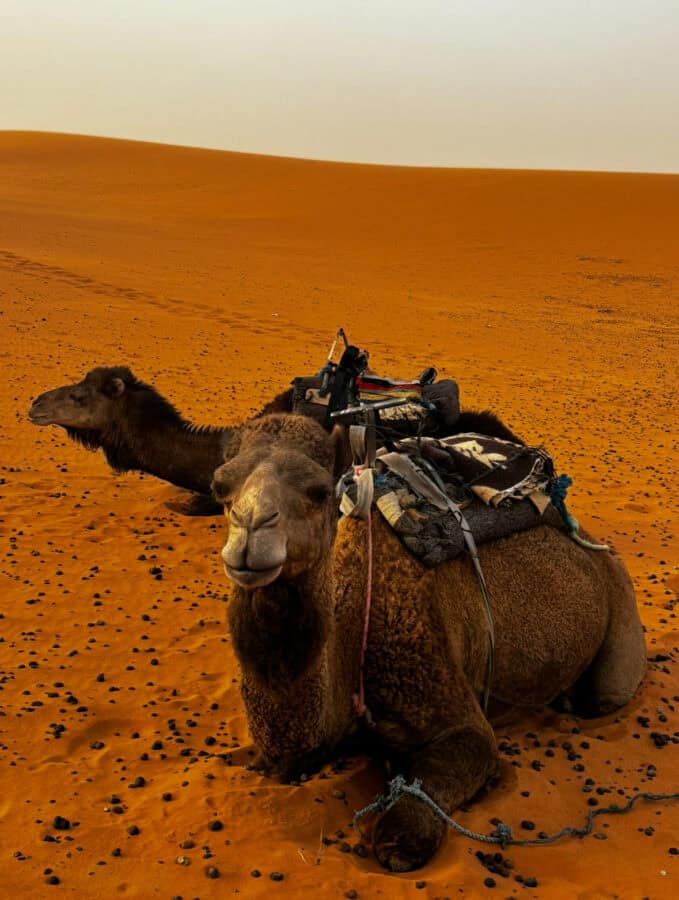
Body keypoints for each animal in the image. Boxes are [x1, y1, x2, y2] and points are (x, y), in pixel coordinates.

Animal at [215, 414, 646, 872]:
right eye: (219, 487)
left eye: (318, 491)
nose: (251, 531)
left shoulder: (437, 677)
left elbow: (408, 827)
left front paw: (401, 835)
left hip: (619, 611)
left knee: (604, 694)